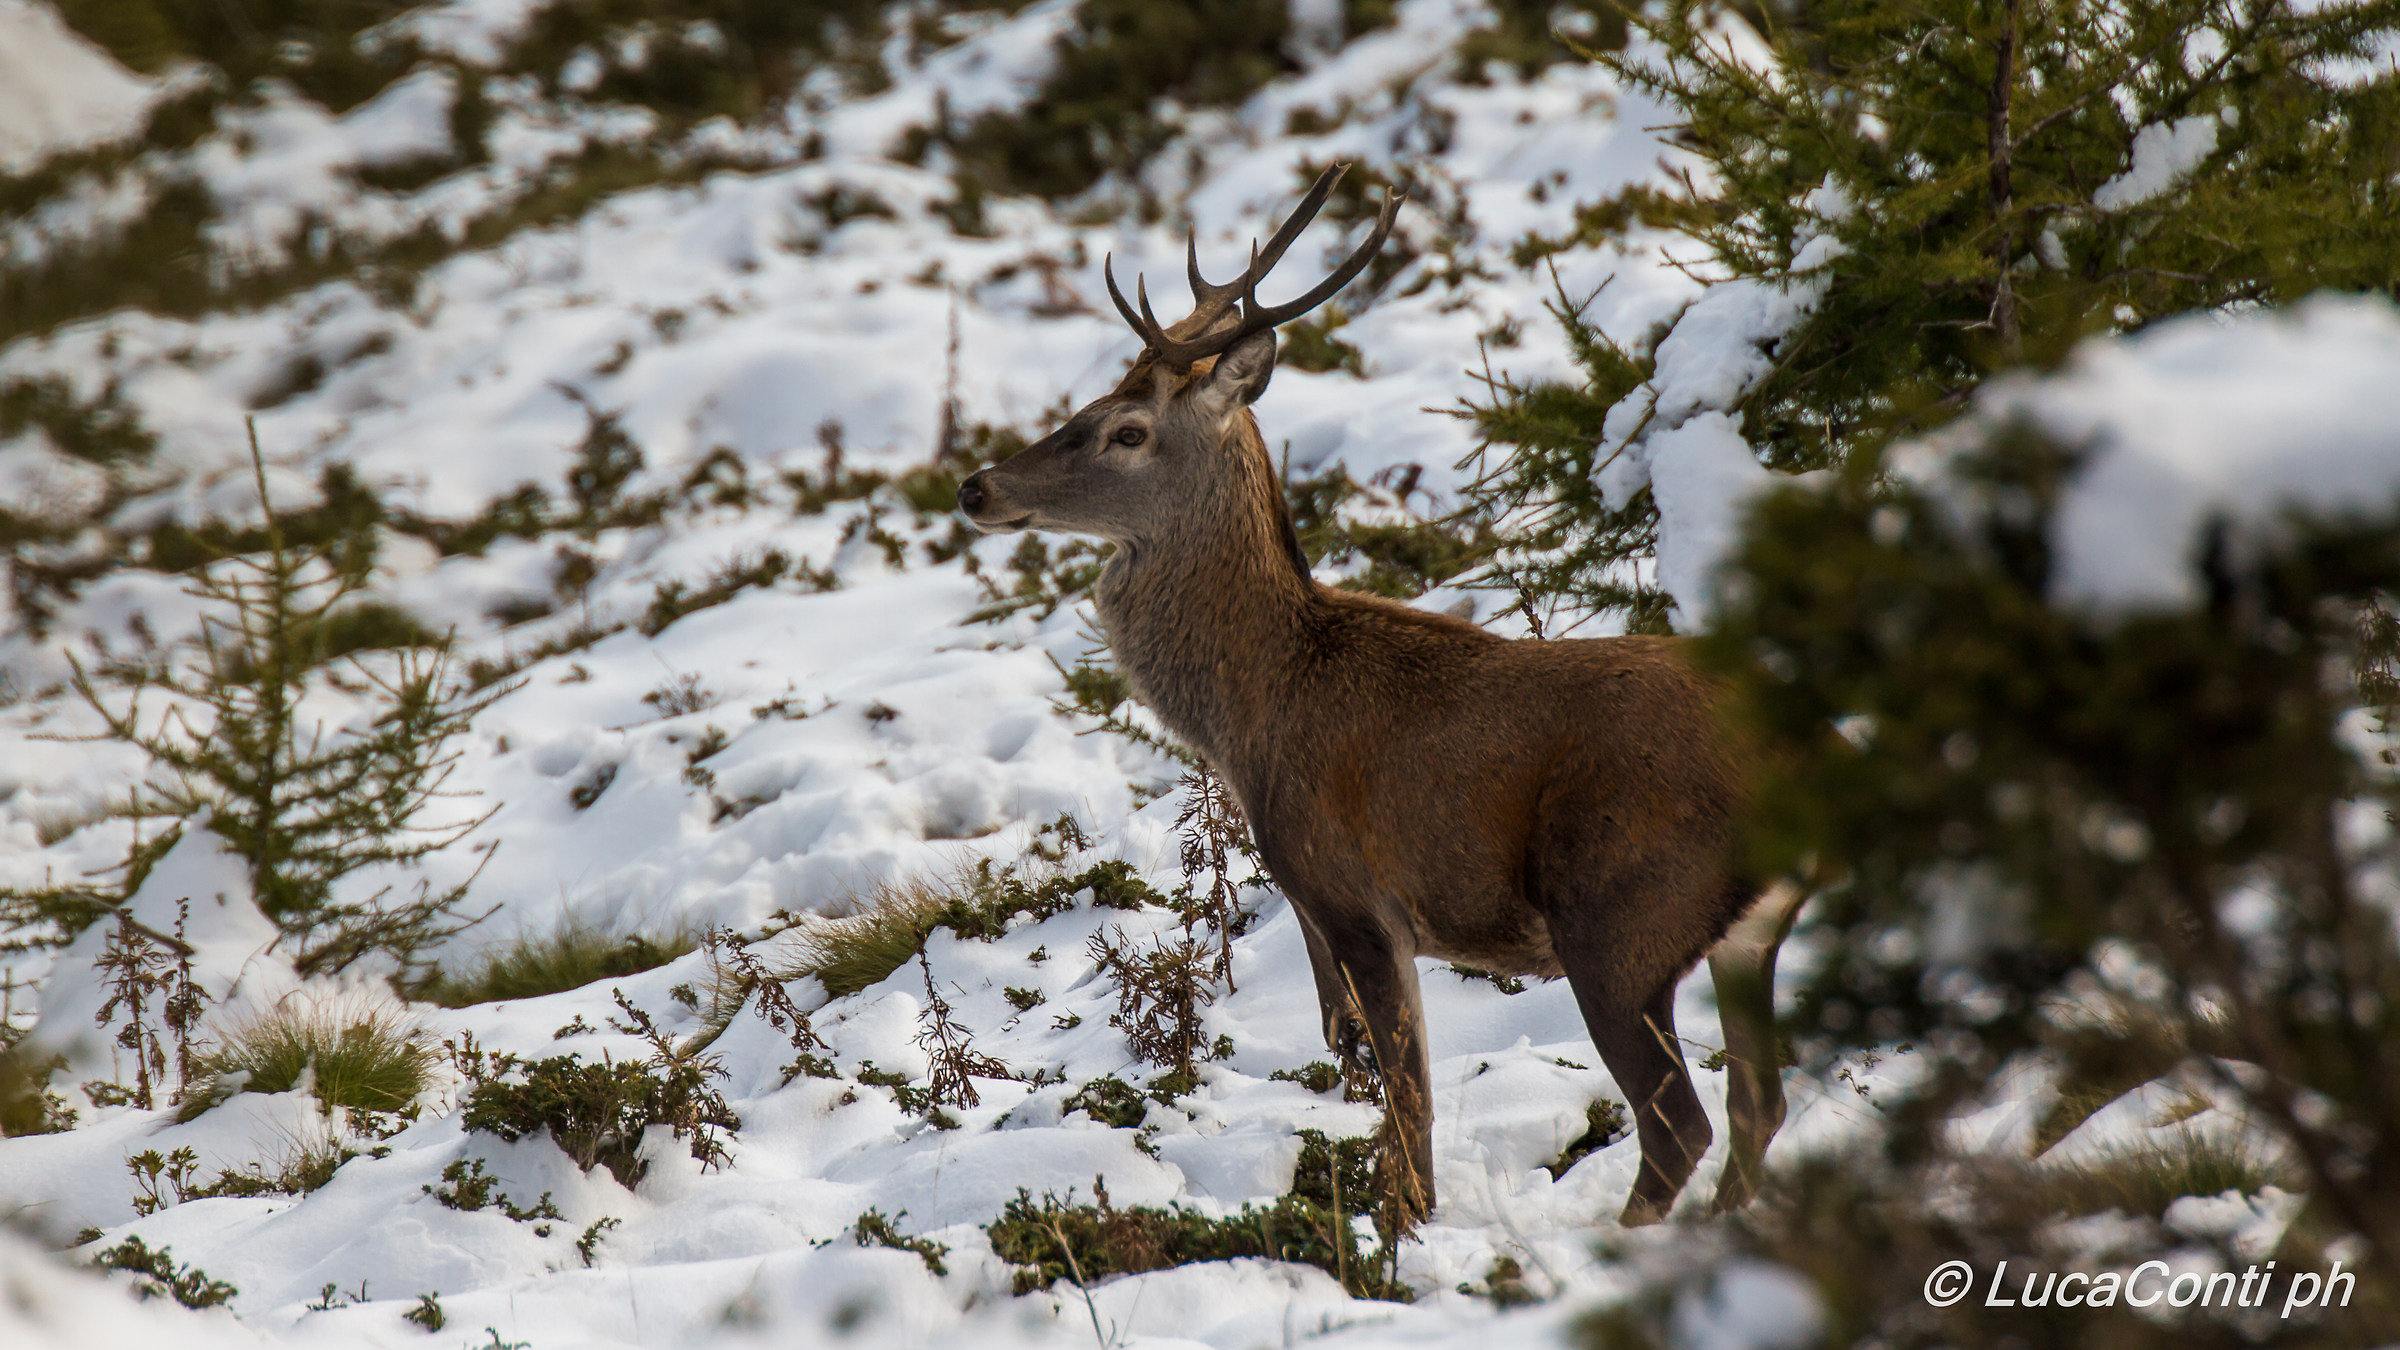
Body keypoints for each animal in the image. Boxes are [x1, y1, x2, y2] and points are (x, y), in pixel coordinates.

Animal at [955, 165, 1806, 1226]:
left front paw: (1402, 1224)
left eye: (1126, 429)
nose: (977, 487)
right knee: (1759, 1104)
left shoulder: (1354, 895)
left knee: (1679, 1124)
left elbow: (1409, 1102)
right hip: (1742, 936)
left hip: (1621, 915)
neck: (1257, 711)